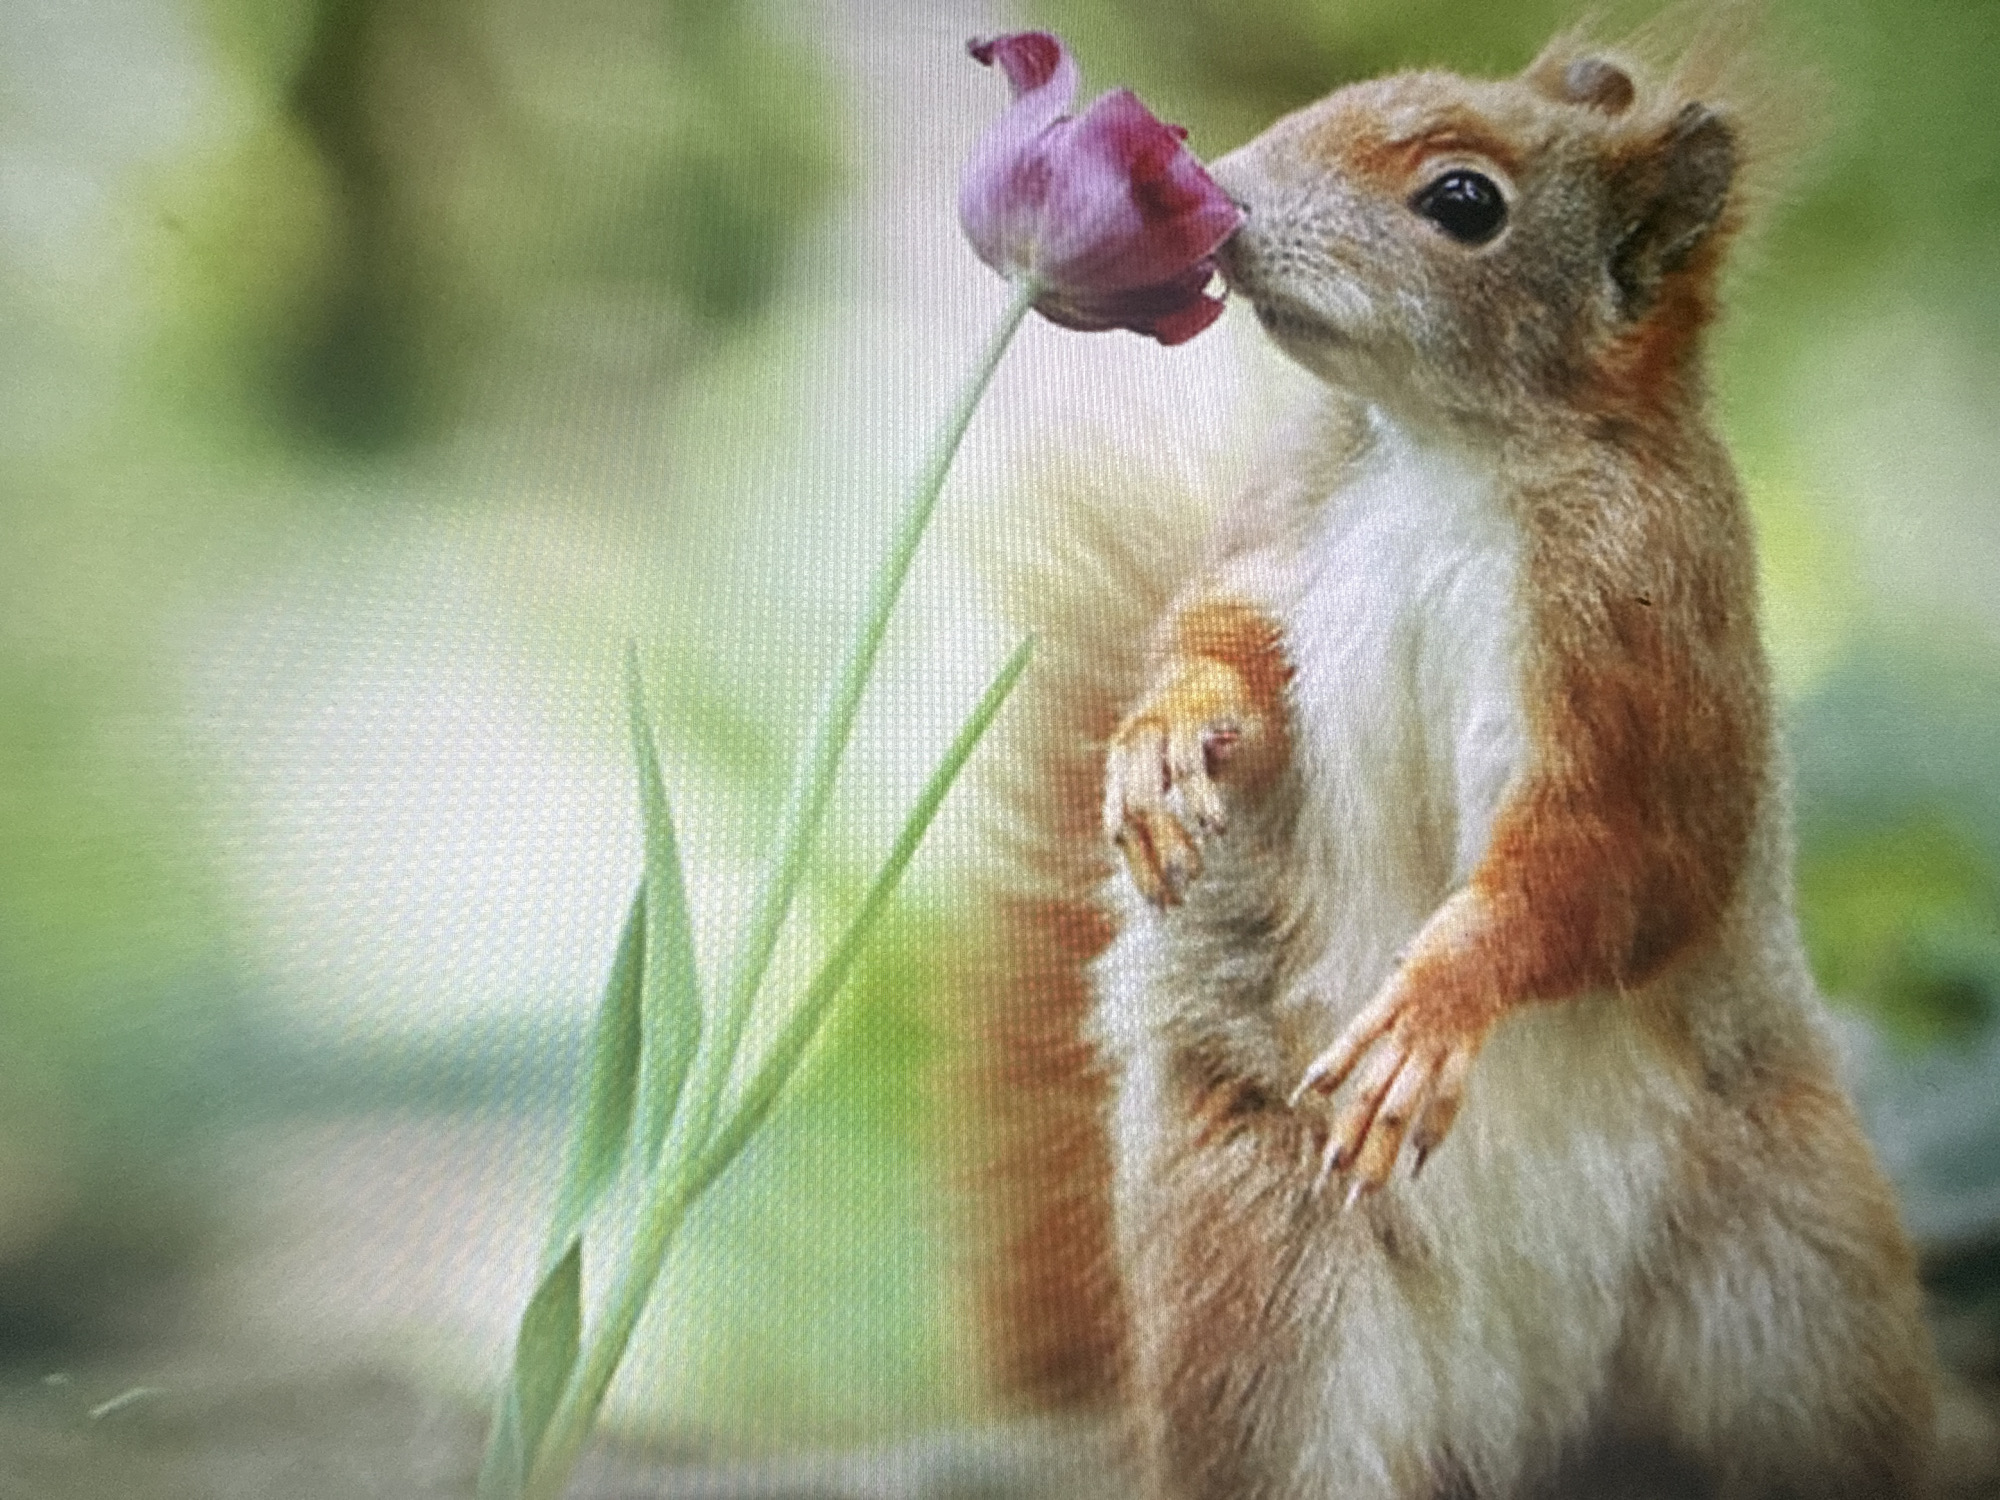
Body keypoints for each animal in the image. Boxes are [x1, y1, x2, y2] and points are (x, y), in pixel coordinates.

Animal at [952, 26, 1942, 1500]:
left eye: (1465, 202)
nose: (1219, 195)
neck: (1445, 452)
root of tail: (1528, 1412)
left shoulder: (1654, 646)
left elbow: (1615, 858)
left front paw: (1433, 1006)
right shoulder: (1287, 543)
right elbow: (1223, 650)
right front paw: (1158, 746)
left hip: (1795, 1287)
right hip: (1267, 1294)